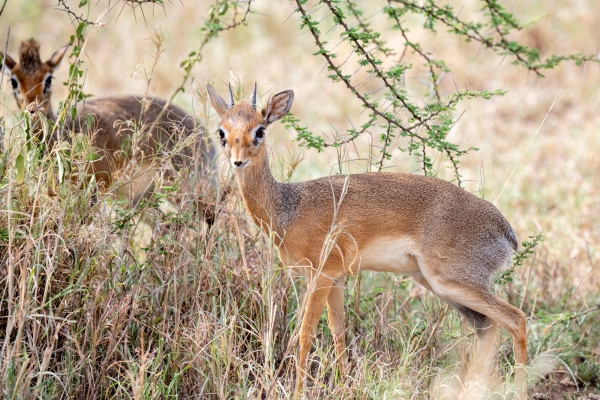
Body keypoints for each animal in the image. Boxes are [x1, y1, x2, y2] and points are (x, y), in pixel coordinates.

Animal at [2, 40, 218, 225]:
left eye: (48, 79)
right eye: (13, 81)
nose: (32, 108)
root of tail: (202, 133)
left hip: (183, 189)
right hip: (140, 200)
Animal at [209, 83, 528, 394]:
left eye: (260, 130)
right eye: (222, 131)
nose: (238, 161)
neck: (288, 209)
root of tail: (504, 230)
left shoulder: (320, 275)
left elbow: (305, 334)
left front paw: (299, 391)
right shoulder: (335, 278)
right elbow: (338, 332)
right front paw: (343, 384)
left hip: (452, 281)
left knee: (516, 319)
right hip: (441, 286)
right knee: (488, 327)